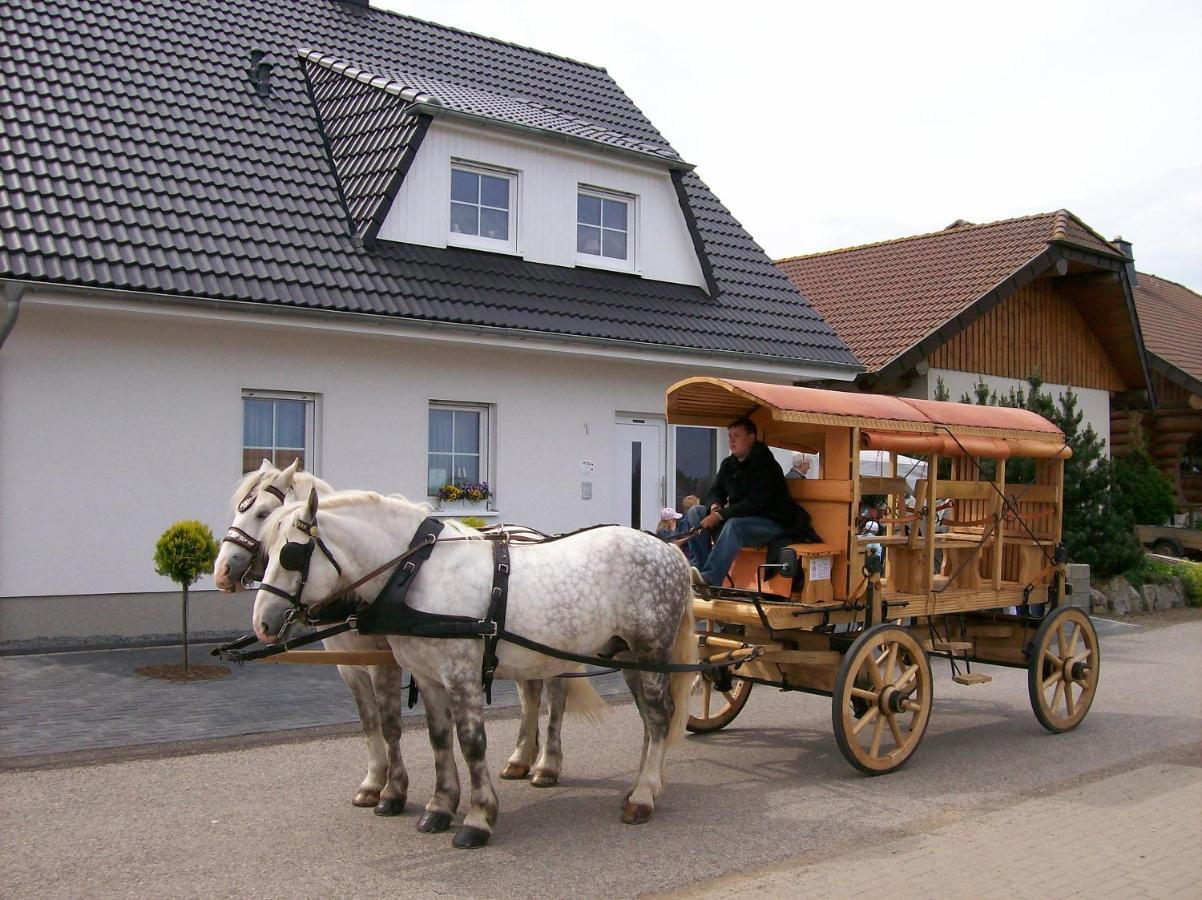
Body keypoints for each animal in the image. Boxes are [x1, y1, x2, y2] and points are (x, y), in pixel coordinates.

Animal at [256, 487, 697, 845]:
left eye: (291, 555)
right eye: (266, 552)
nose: (262, 624)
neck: (417, 573)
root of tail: (670, 550)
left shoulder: (461, 674)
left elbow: (471, 742)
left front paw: (478, 818)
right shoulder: (428, 677)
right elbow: (438, 739)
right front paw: (439, 808)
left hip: (651, 651)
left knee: (659, 717)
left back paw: (643, 796)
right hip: (627, 655)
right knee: (647, 718)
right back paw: (644, 785)